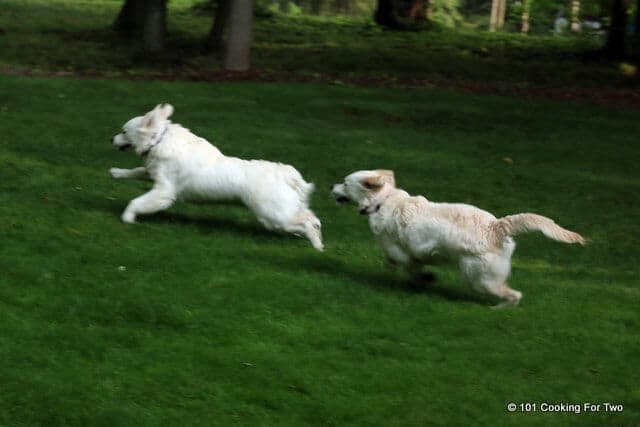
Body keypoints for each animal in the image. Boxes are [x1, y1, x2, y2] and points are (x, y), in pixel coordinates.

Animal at [110, 104, 322, 251]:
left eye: (123, 131)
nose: (111, 140)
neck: (159, 140)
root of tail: (285, 174)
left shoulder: (164, 192)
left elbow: (136, 202)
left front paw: (128, 217)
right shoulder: (154, 174)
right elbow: (137, 171)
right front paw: (116, 172)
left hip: (274, 215)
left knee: (307, 221)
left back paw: (316, 244)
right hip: (283, 210)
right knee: (311, 217)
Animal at [332, 171, 588, 308]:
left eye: (344, 183)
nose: (331, 185)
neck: (382, 201)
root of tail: (497, 226)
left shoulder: (398, 250)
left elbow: (409, 266)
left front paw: (424, 278)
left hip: (479, 278)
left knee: (513, 295)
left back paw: (497, 309)